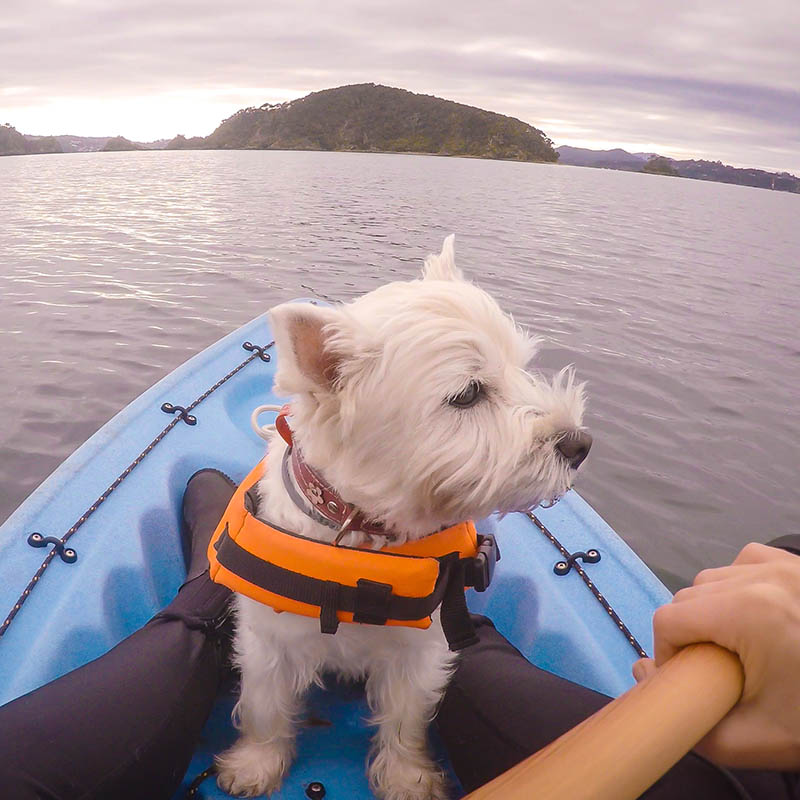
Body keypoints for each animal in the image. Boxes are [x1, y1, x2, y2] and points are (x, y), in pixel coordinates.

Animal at [216, 238, 592, 800]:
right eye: (467, 393)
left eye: (520, 366)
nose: (580, 444)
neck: (363, 531)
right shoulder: (269, 643)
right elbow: (266, 707)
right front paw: (253, 765)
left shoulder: (422, 649)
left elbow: (405, 718)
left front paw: (406, 776)